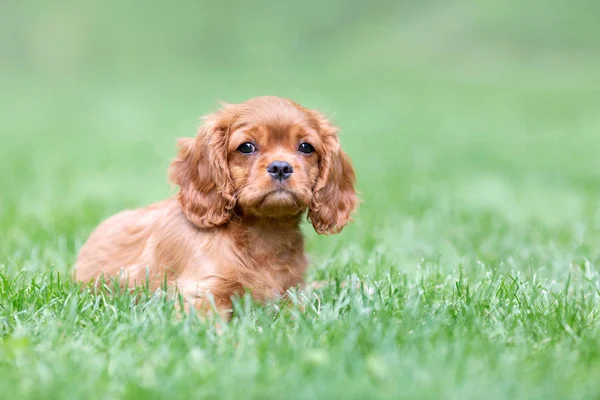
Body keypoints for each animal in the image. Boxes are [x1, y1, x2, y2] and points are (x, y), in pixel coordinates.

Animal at [74, 97, 356, 318]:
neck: (264, 233)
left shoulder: (291, 294)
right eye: (247, 147)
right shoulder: (202, 293)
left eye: (306, 147)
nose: (280, 167)